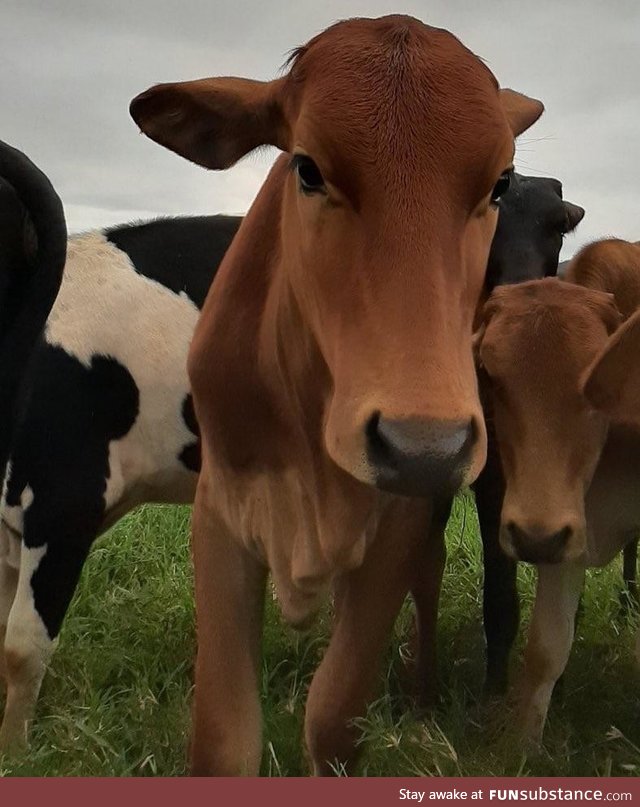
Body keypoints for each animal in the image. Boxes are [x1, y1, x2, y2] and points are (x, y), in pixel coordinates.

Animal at [132, 14, 544, 776]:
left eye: (500, 182)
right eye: (308, 168)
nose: (422, 445)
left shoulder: (399, 523)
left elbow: (333, 718)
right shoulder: (221, 513)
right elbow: (223, 738)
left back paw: (421, 692)